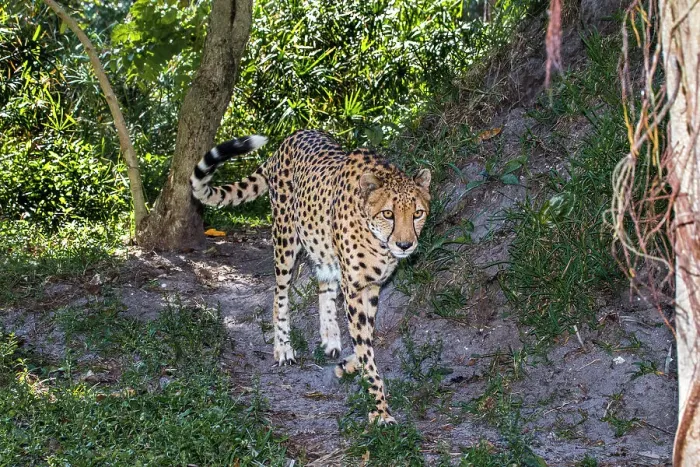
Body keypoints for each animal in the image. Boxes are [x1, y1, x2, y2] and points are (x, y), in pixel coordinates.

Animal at [190, 130, 431, 423]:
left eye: (417, 213)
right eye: (388, 213)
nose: (405, 245)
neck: (378, 240)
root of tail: (290, 138)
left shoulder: (372, 286)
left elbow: (366, 336)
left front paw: (348, 365)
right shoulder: (354, 287)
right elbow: (365, 345)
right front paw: (380, 409)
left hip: (321, 246)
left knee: (323, 285)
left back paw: (330, 338)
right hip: (285, 238)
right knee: (279, 293)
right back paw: (283, 348)